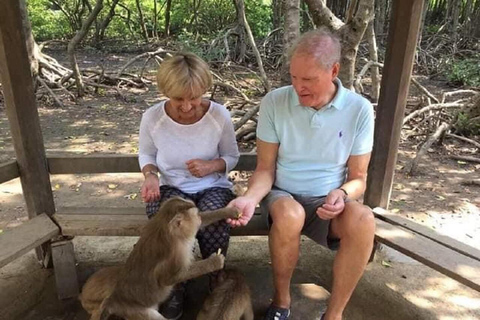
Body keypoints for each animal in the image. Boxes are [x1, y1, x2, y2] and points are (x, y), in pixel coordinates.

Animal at [81, 198, 244, 320]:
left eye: (197, 215)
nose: (197, 217)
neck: (167, 229)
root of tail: (113, 299)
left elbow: (205, 221)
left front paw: (230, 210)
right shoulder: (175, 254)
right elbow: (168, 278)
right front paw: (213, 262)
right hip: (132, 309)